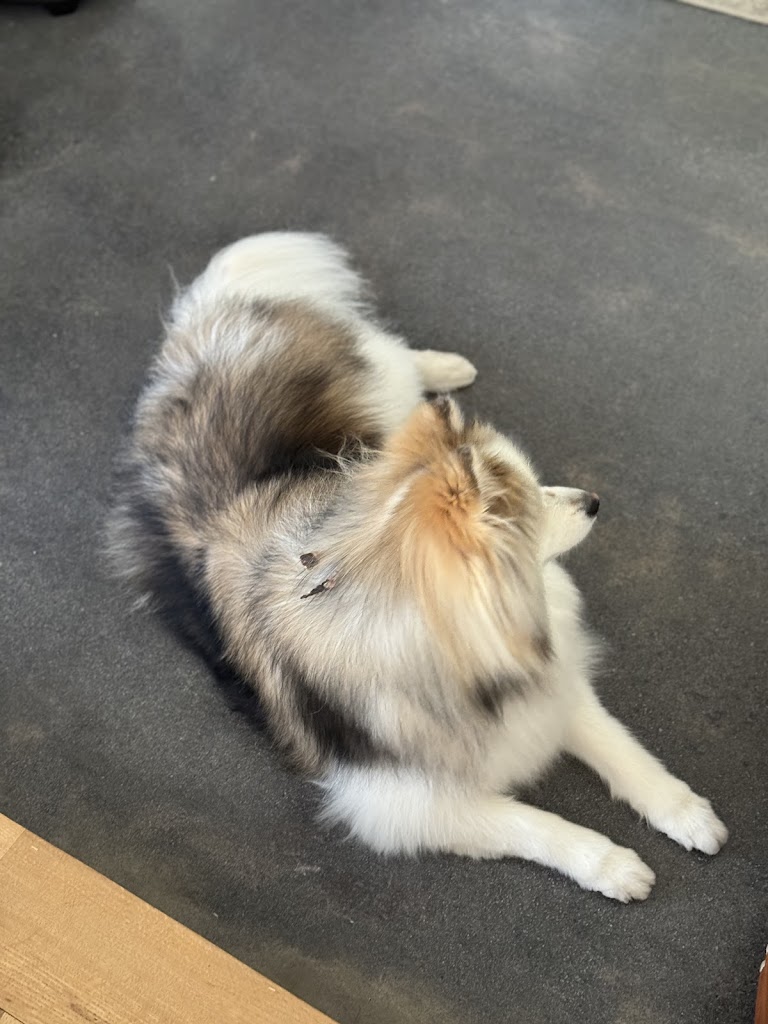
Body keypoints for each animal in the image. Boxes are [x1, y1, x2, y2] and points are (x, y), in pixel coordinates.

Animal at [108, 232, 727, 901]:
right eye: (534, 507)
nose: (593, 502)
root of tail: (206, 332)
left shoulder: (550, 683)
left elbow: (622, 746)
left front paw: (687, 813)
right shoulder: (406, 804)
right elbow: (534, 824)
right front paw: (614, 867)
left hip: (379, 404)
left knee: (392, 355)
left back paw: (447, 372)